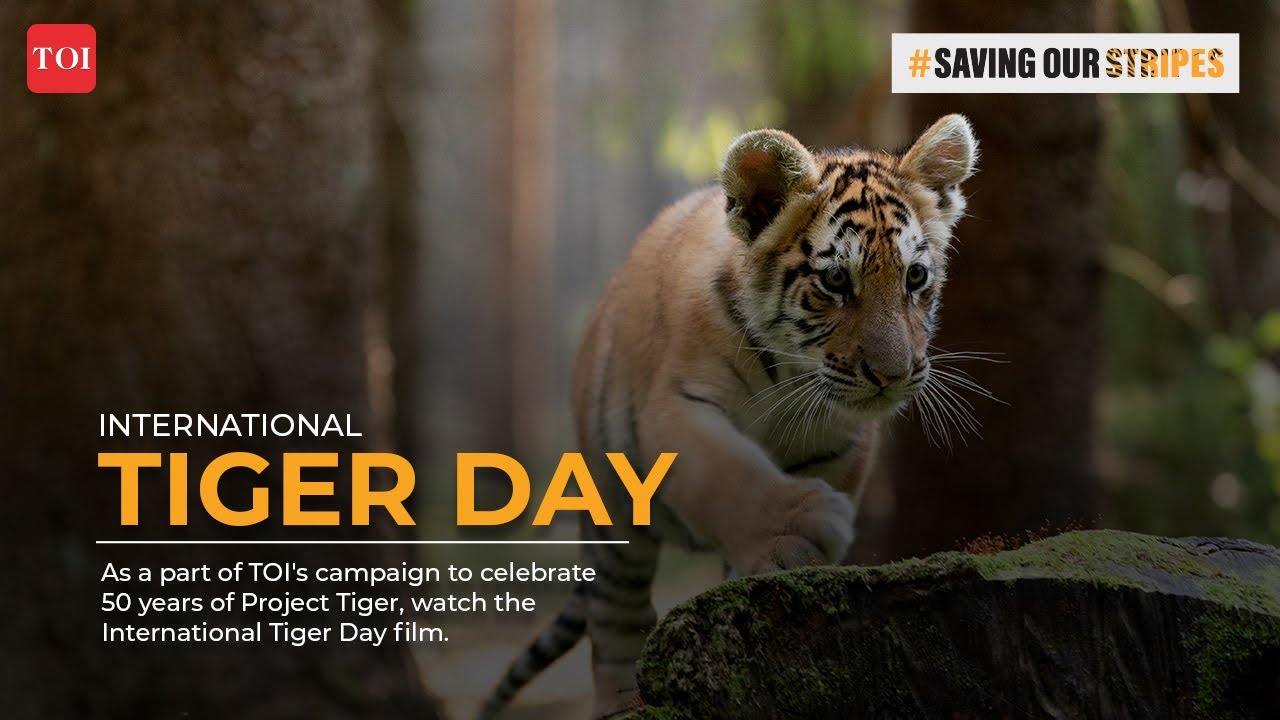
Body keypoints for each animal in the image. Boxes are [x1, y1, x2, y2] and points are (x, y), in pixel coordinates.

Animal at [478, 114, 978, 719]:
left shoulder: (846, 442)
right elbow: (731, 476)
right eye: (836, 281)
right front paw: (798, 535)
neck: (790, 378)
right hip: (613, 526)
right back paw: (621, 698)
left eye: (916, 278)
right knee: (618, 627)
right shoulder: (674, 410)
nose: (894, 374)